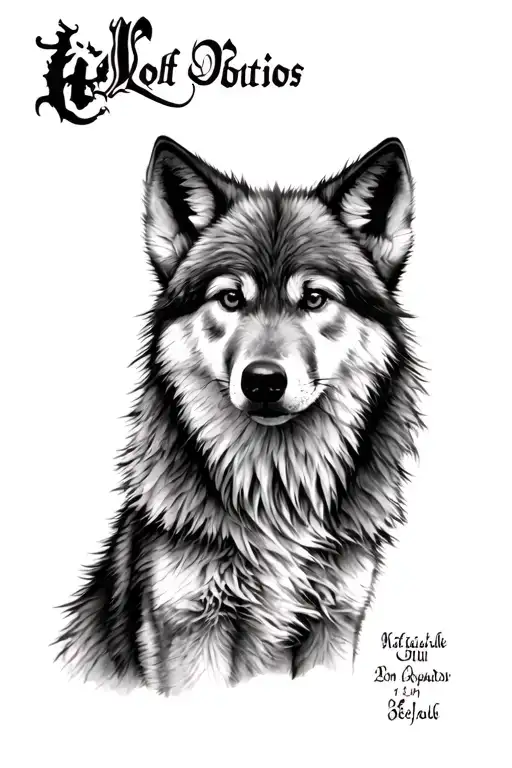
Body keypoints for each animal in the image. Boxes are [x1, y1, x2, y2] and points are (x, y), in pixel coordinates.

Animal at [56, 135, 424, 695]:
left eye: (314, 298)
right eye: (230, 298)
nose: (264, 381)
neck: (277, 498)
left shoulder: (336, 622)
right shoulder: (190, 628)